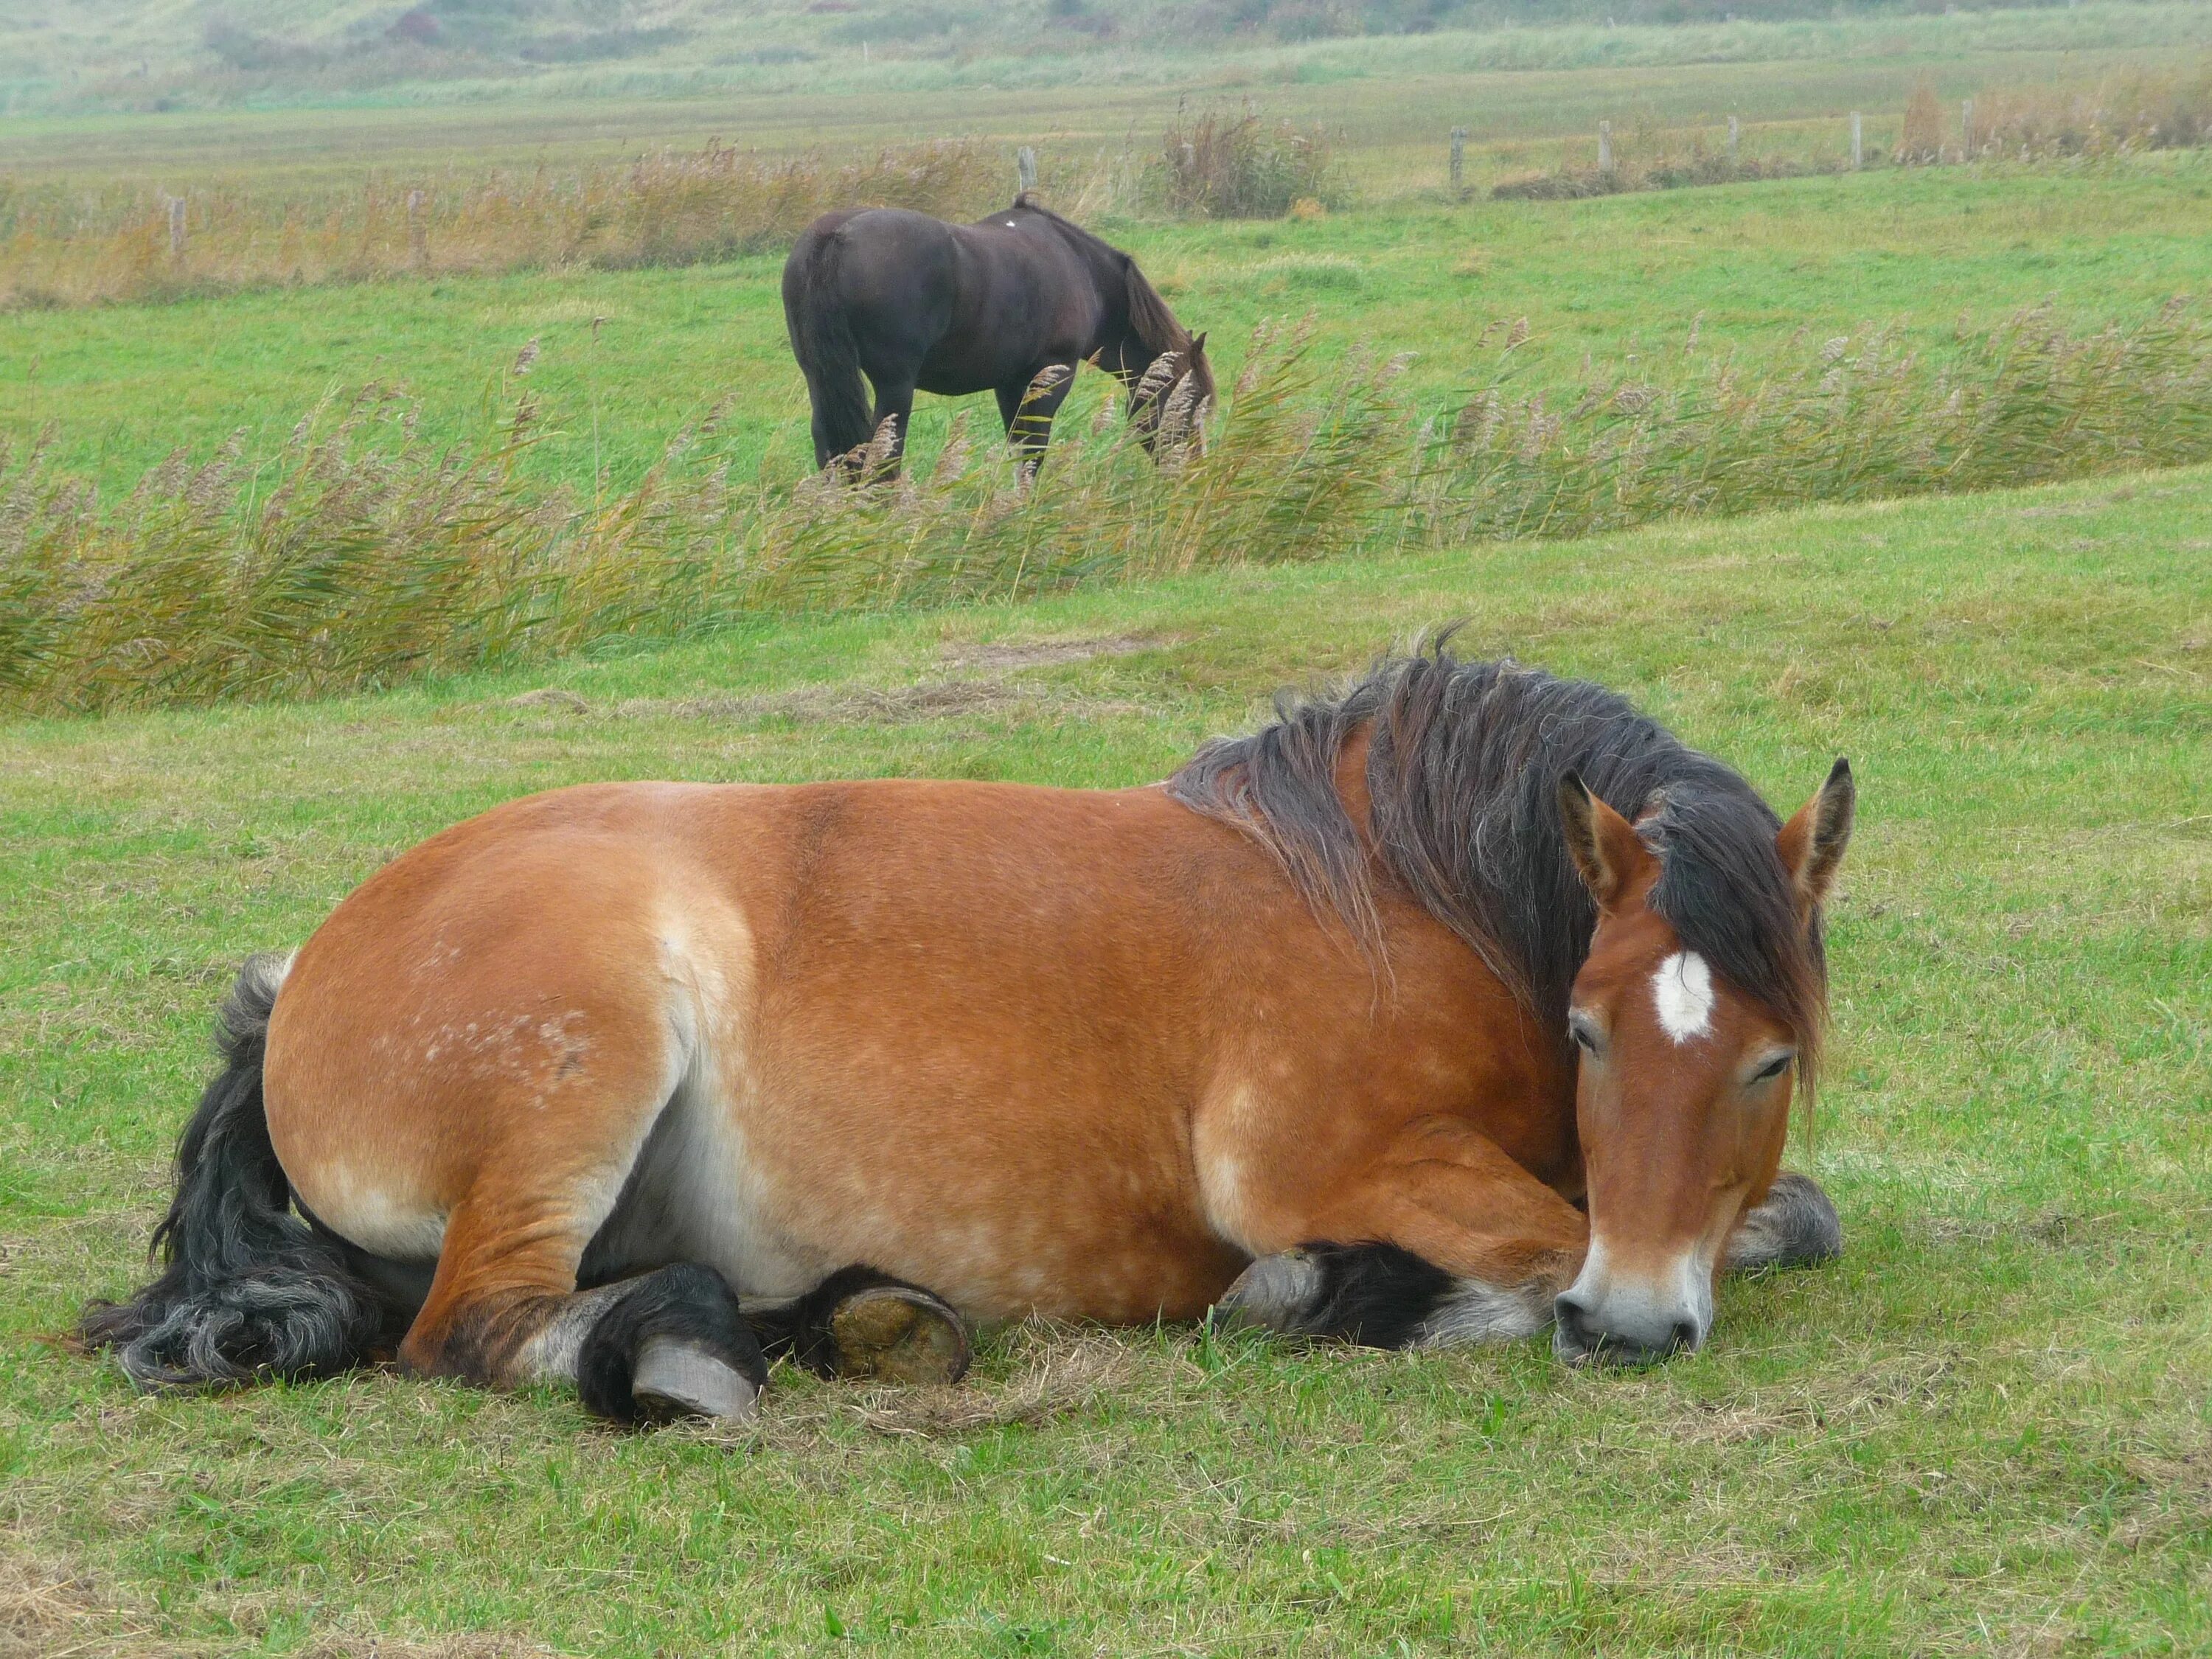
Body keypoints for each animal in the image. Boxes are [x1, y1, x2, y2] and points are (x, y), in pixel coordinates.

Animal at [82, 650, 1849, 1433]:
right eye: (1590, 1033)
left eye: (1769, 1061)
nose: (1635, 1332)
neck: (1397, 893)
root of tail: (299, 980)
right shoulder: (1328, 1167)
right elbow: (1554, 1247)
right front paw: (1336, 1295)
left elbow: (1792, 1219)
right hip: (579, 1066)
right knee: (472, 1325)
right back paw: (681, 1358)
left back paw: (839, 1321)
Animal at [779, 199, 1221, 480]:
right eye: (1192, 404)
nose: (1195, 470)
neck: (1081, 268)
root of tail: (833, 236)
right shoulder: (1052, 374)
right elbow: (1034, 450)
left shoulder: (1010, 384)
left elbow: (1019, 447)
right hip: (895, 386)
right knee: (884, 455)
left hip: (820, 377)